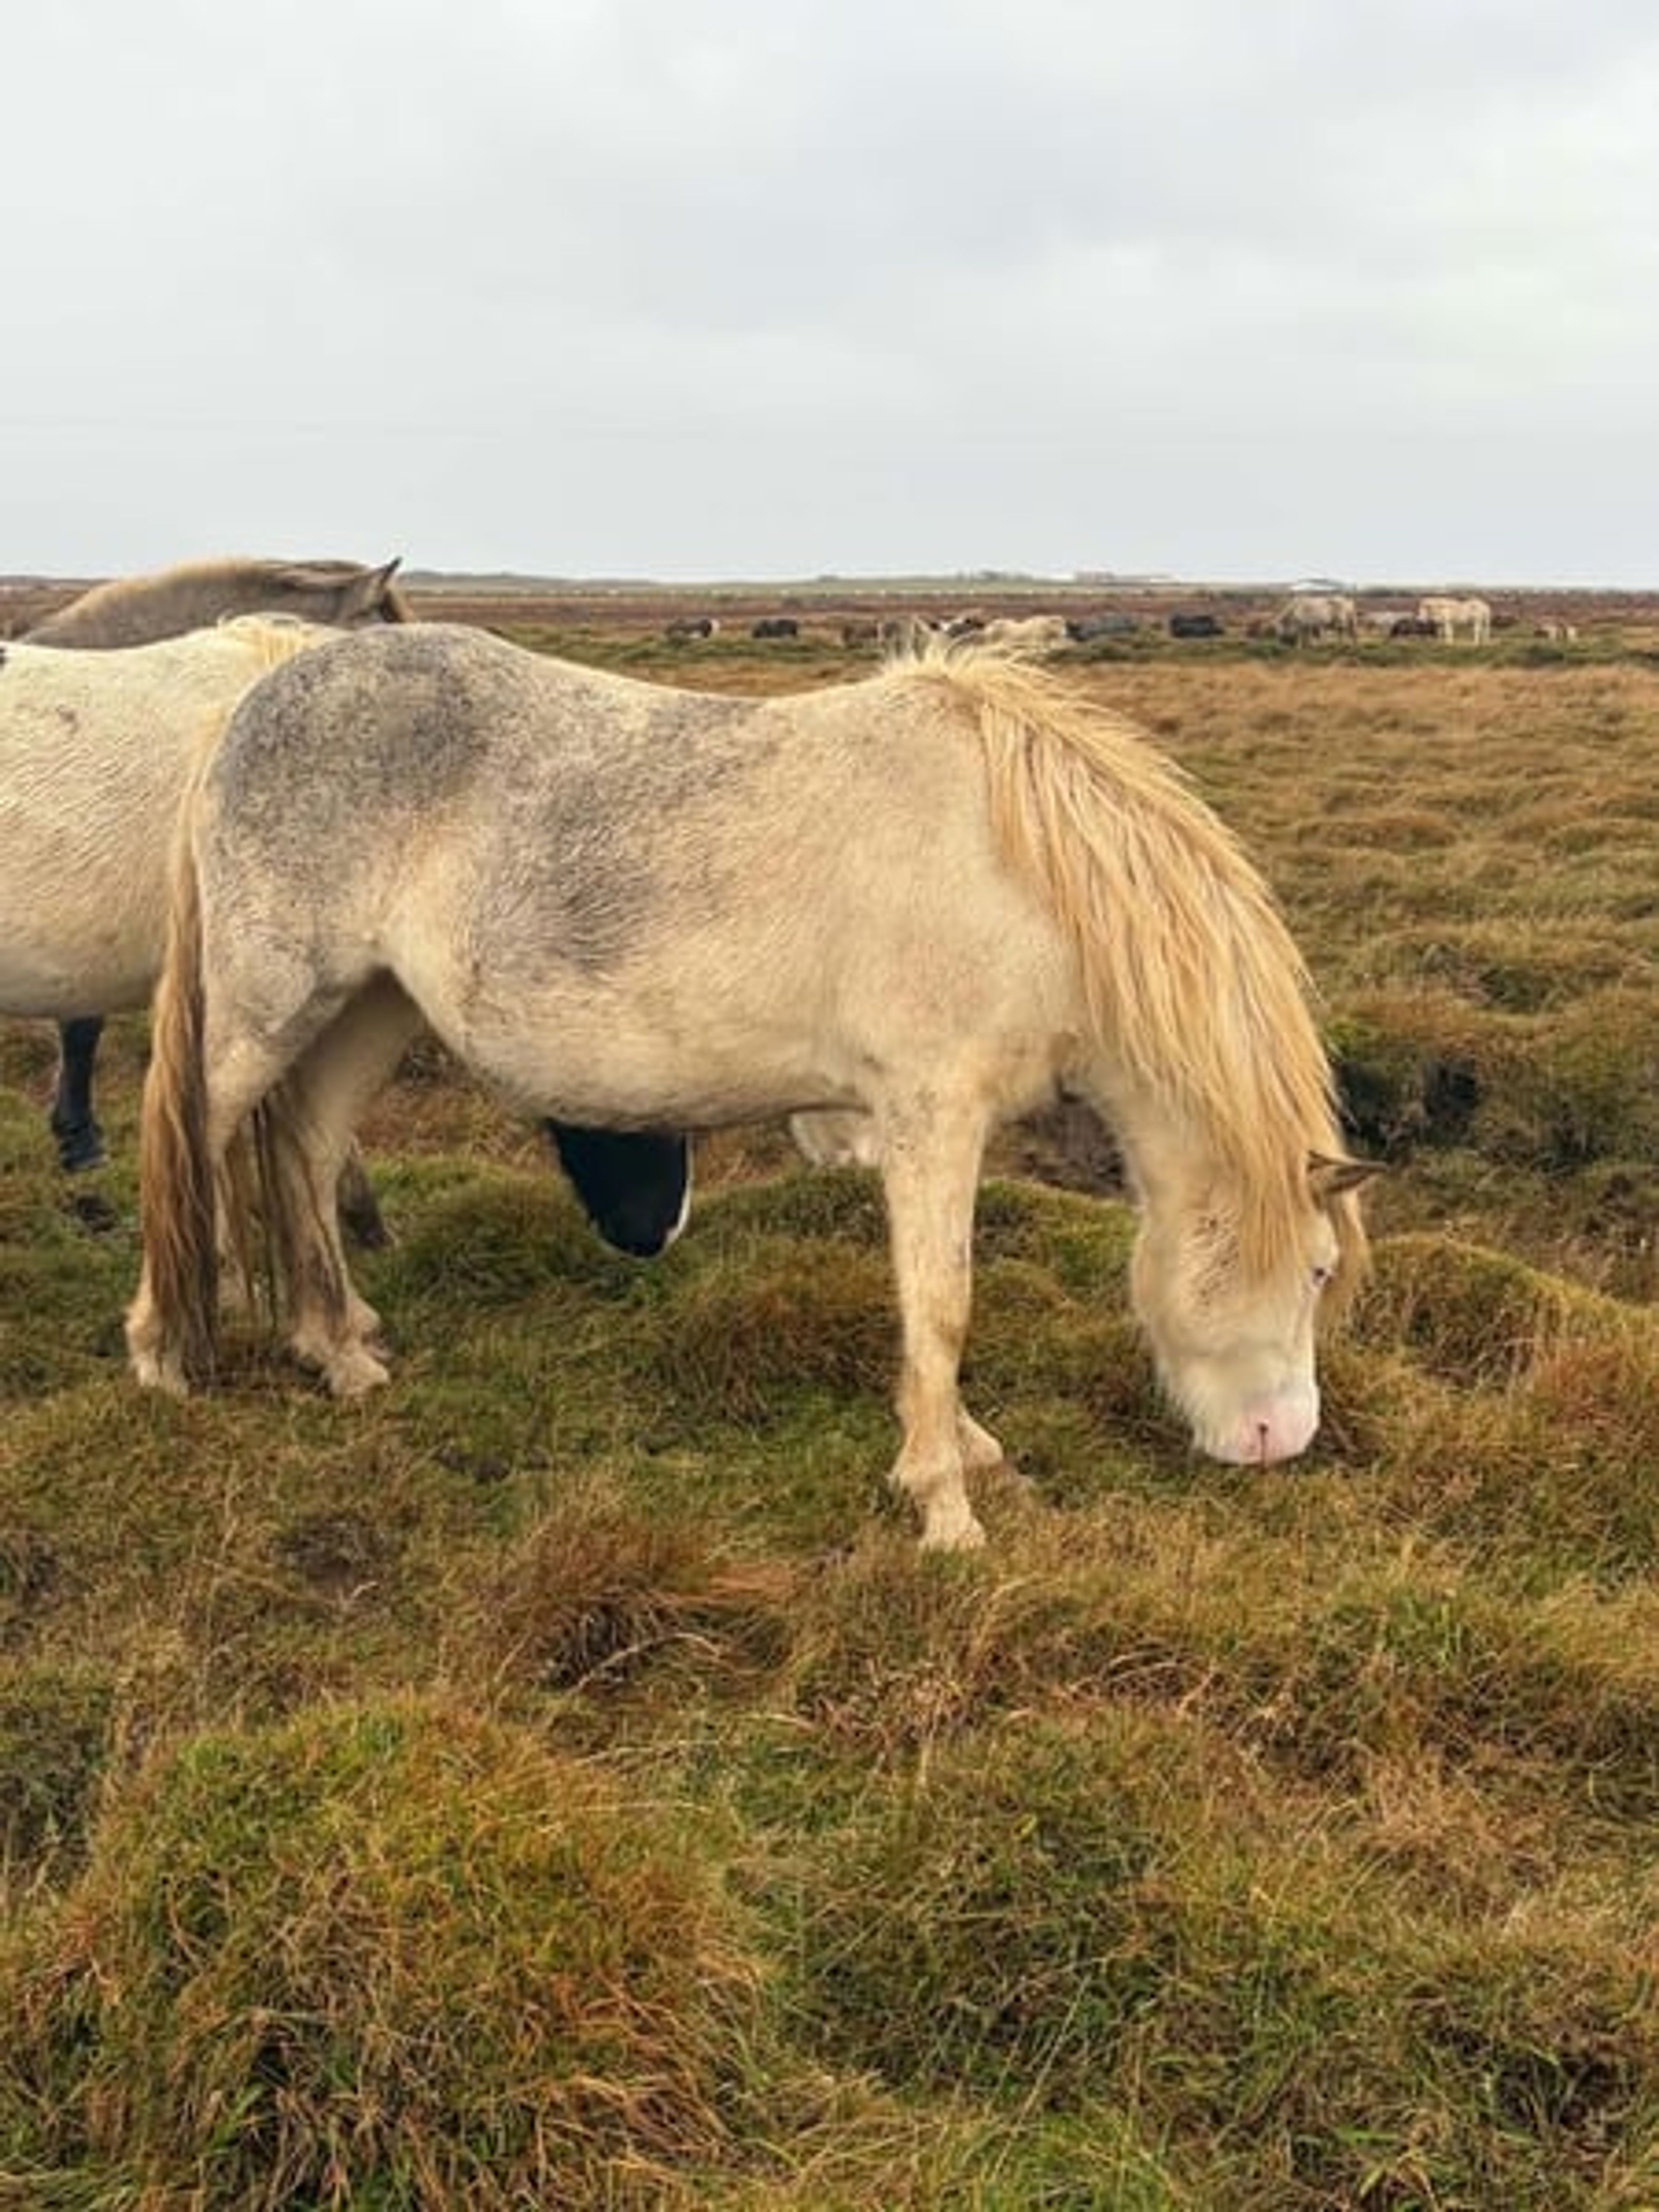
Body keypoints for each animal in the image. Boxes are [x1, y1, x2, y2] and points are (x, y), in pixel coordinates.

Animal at [126, 626, 1375, 1552]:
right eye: (1316, 1271)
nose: (1280, 1439)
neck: (1021, 874)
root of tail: (250, 704)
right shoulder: (932, 1118)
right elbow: (942, 1303)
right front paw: (945, 1504)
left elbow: (927, 1303)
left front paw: (967, 1457)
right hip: (264, 1018)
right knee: (200, 1146)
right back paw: (164, 1355)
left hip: (366, 1009)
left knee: (304, 1151)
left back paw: (337, 1351)